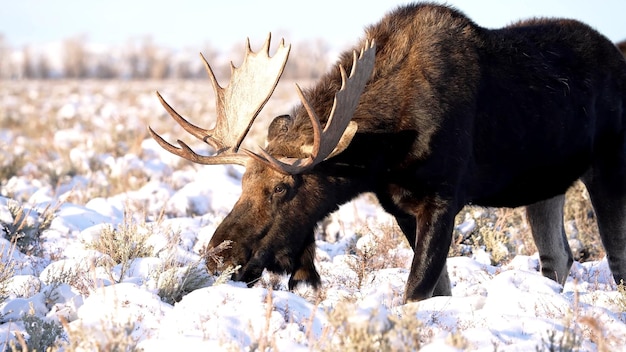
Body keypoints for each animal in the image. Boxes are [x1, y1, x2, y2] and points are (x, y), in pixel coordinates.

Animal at [150, 2, 624, 302]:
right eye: (243, 181)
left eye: (284, 188)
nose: (217, 257)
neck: (383, 152)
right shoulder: (398, 205)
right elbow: (437, 291)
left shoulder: (443, 199)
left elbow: (414, 293)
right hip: (546, 186)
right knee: (558, 257)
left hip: (608, 169)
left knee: (615, 257)